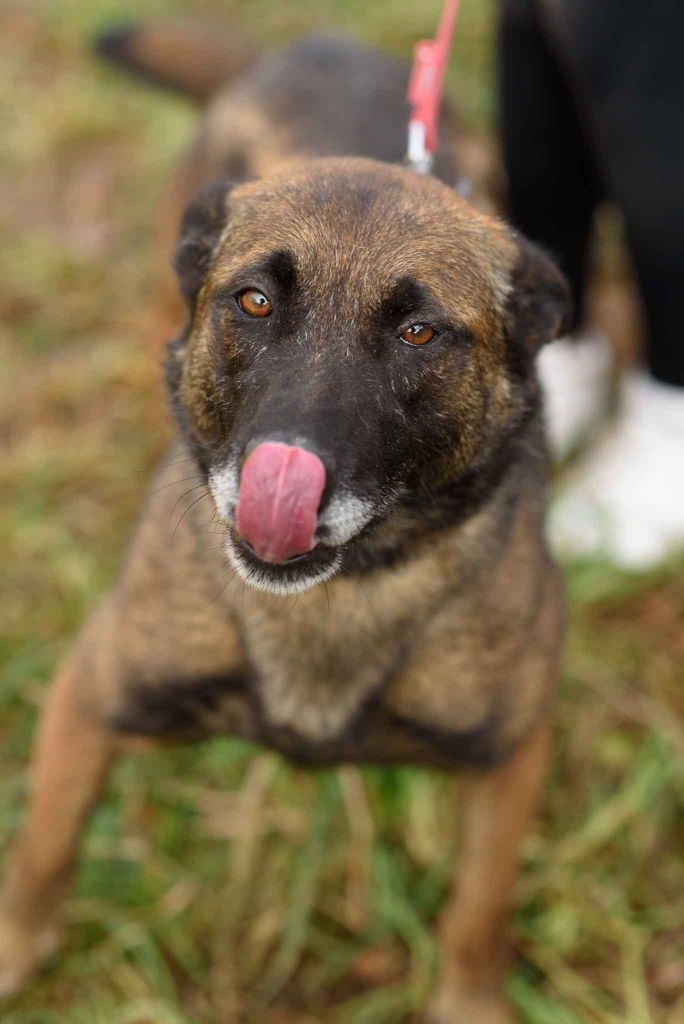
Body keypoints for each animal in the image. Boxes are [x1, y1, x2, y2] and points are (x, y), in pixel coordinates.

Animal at [0, 19, 565, 1019]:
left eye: (419, 332)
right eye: (254, 302)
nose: (283, 473)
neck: (337, 597)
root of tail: (313, 45)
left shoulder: (511, 759)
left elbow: (476, 913)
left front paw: (470, 999)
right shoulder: (89, 696)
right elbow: (44, 849)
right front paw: (15, 952)